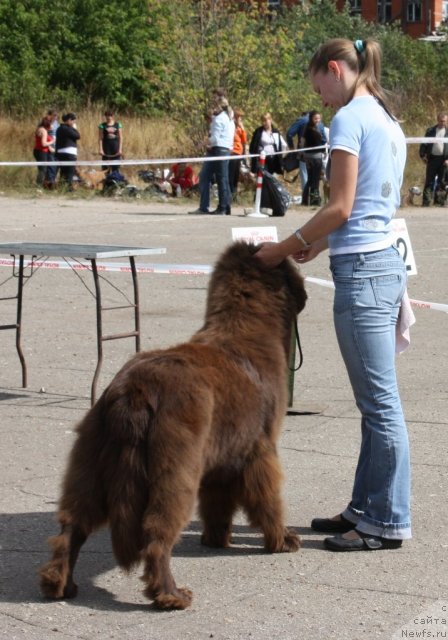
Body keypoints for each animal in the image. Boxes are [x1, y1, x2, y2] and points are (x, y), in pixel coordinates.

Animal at [39, 240, 308, 608]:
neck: (243, 327)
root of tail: (133, 391)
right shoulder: (261, 450)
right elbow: (268, 499)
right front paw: (282, 539)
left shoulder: (218, 456)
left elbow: (217, 501)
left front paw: (216, 539)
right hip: (173, 468)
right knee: (157, 534)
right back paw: (170, 595)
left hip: (90, 460)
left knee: (72, 526)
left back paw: (59, 585)